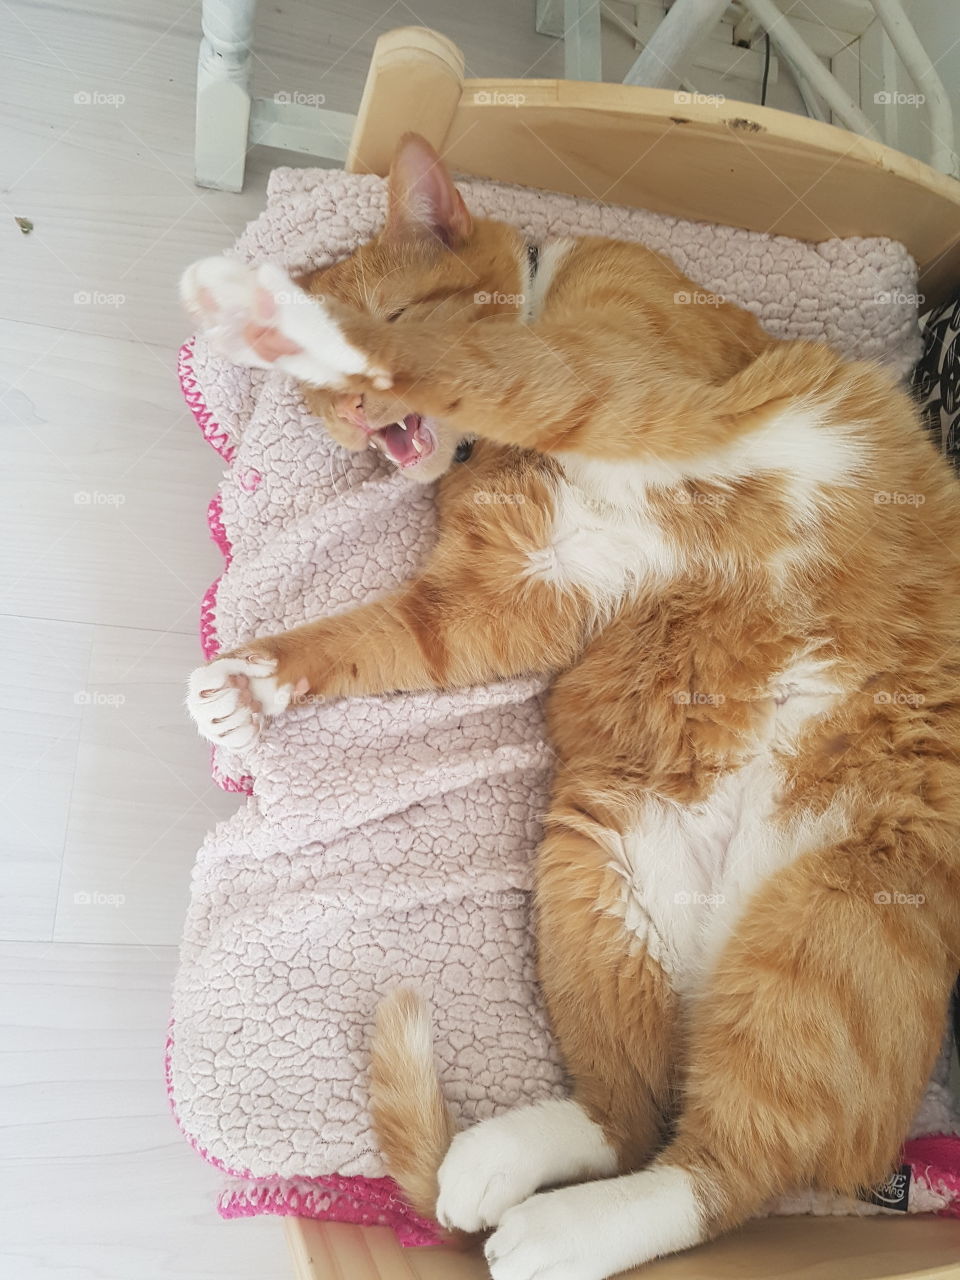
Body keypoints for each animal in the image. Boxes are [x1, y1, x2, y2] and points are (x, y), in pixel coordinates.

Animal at [181, 132, 960, 1280]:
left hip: (828, 931)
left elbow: (491, 368)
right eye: (324, 412)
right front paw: (251, 684)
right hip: (594, 872)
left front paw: (283, 318)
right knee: (638, 1122)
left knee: (725, 1172)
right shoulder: (505, 602)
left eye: (396, 313)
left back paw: (554, 1232)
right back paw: (502, 1176)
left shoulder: (625, 388)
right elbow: (368, 643)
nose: (358, 414)